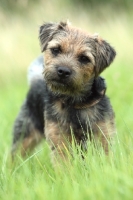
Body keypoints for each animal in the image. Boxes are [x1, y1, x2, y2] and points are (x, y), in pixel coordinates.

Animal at [11, 20, 115, 164]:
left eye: (84, 58)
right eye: (56, 50)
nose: (63, 71)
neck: (74, 101)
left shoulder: (103, 134)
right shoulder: (60, 140)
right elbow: (65, 164)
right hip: (25, 132)